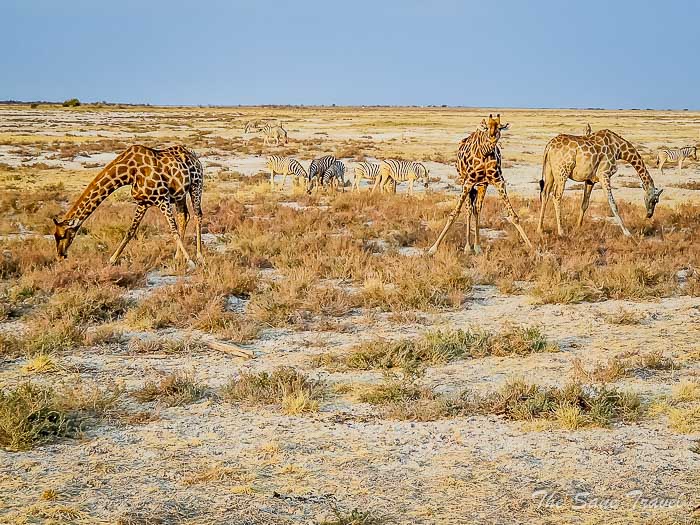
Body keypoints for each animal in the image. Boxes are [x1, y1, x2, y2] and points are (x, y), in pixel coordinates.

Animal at [52, 144, 205, 265]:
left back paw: (199, 256)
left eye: (63, 235)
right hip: (180, 194)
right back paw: (177, 256)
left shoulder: (162, 198)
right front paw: (112, 259)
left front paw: (190, 261)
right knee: (184, 217)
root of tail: (195, 156)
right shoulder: (143, 202)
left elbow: (173, 230)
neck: (129, 172)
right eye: (55, 235)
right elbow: (130, 231)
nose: (60, 256)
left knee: (198, 215)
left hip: (196, 185)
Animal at [428, 114, 532, 256]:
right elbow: (454, 214)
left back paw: (477, 247)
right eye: (487, 127)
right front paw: (433, 248)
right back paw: (468, 247)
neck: (485, 152)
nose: (492, 136)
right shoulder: (468, 182)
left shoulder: (498, 181)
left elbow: (514, 216)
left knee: (476, 208)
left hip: (482, 185)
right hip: (464, 180)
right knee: (468, 208)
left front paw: (532, 248)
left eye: (500, 127)